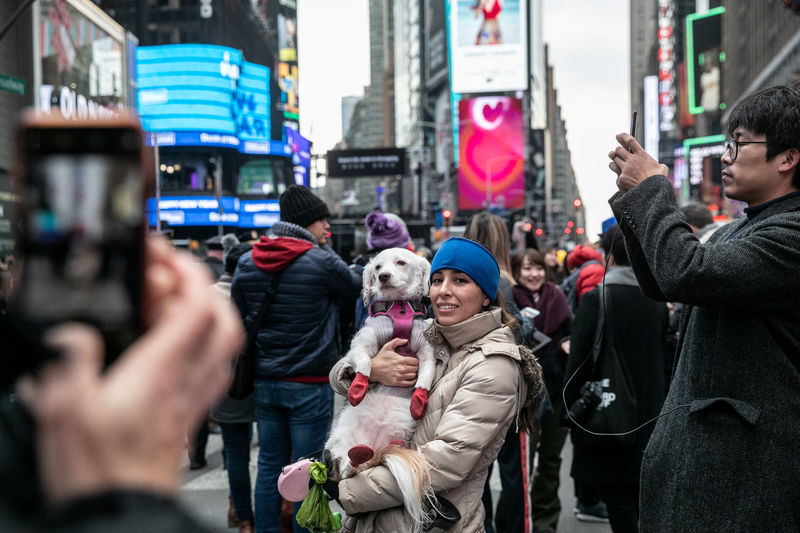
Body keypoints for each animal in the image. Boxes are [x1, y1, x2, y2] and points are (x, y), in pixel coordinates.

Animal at [324, 248, 438, 528]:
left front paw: (418, 400)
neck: (399, 310)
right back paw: (356, 457)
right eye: (377, 267)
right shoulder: (362, 344)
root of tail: (372, 447)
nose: (384, 276)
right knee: (347, 468)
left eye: (401, 262)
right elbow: (364, 363)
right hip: (341, 442)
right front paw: (358, 388)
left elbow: (424, 378)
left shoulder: (427, 353)